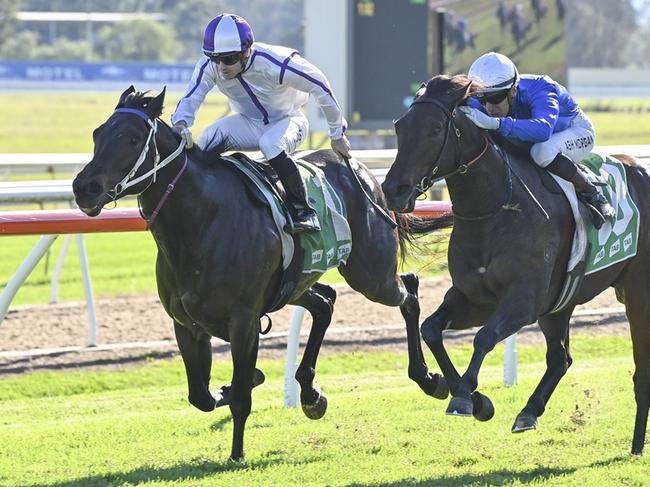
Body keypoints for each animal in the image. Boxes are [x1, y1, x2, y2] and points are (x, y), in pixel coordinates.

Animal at [69, 87, 446, 462]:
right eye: (98, 134)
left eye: (133, 139)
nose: (84, 187)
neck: (201, 223)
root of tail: (363, 171)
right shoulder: (186, 323)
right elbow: (201, 395)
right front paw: (246, 381)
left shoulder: (244, 320)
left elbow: (239, 396)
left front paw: (237, 451)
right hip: (298, 284)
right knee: (325, 302)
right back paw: (310, 393)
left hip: (371, 275)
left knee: (408, 290)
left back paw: (428, 378)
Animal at [380, 74, 648, 456]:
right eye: (400, 126)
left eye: (435, 129)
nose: (393, 190)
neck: (495, 209)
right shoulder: (474, 297)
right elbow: (431, 328)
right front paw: (473, 398)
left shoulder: (523, 301)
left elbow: (484, 337)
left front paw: (466, 395)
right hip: (560, 303)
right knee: (560, 358)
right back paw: (529, 411)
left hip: (637, 291)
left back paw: (637, 443)